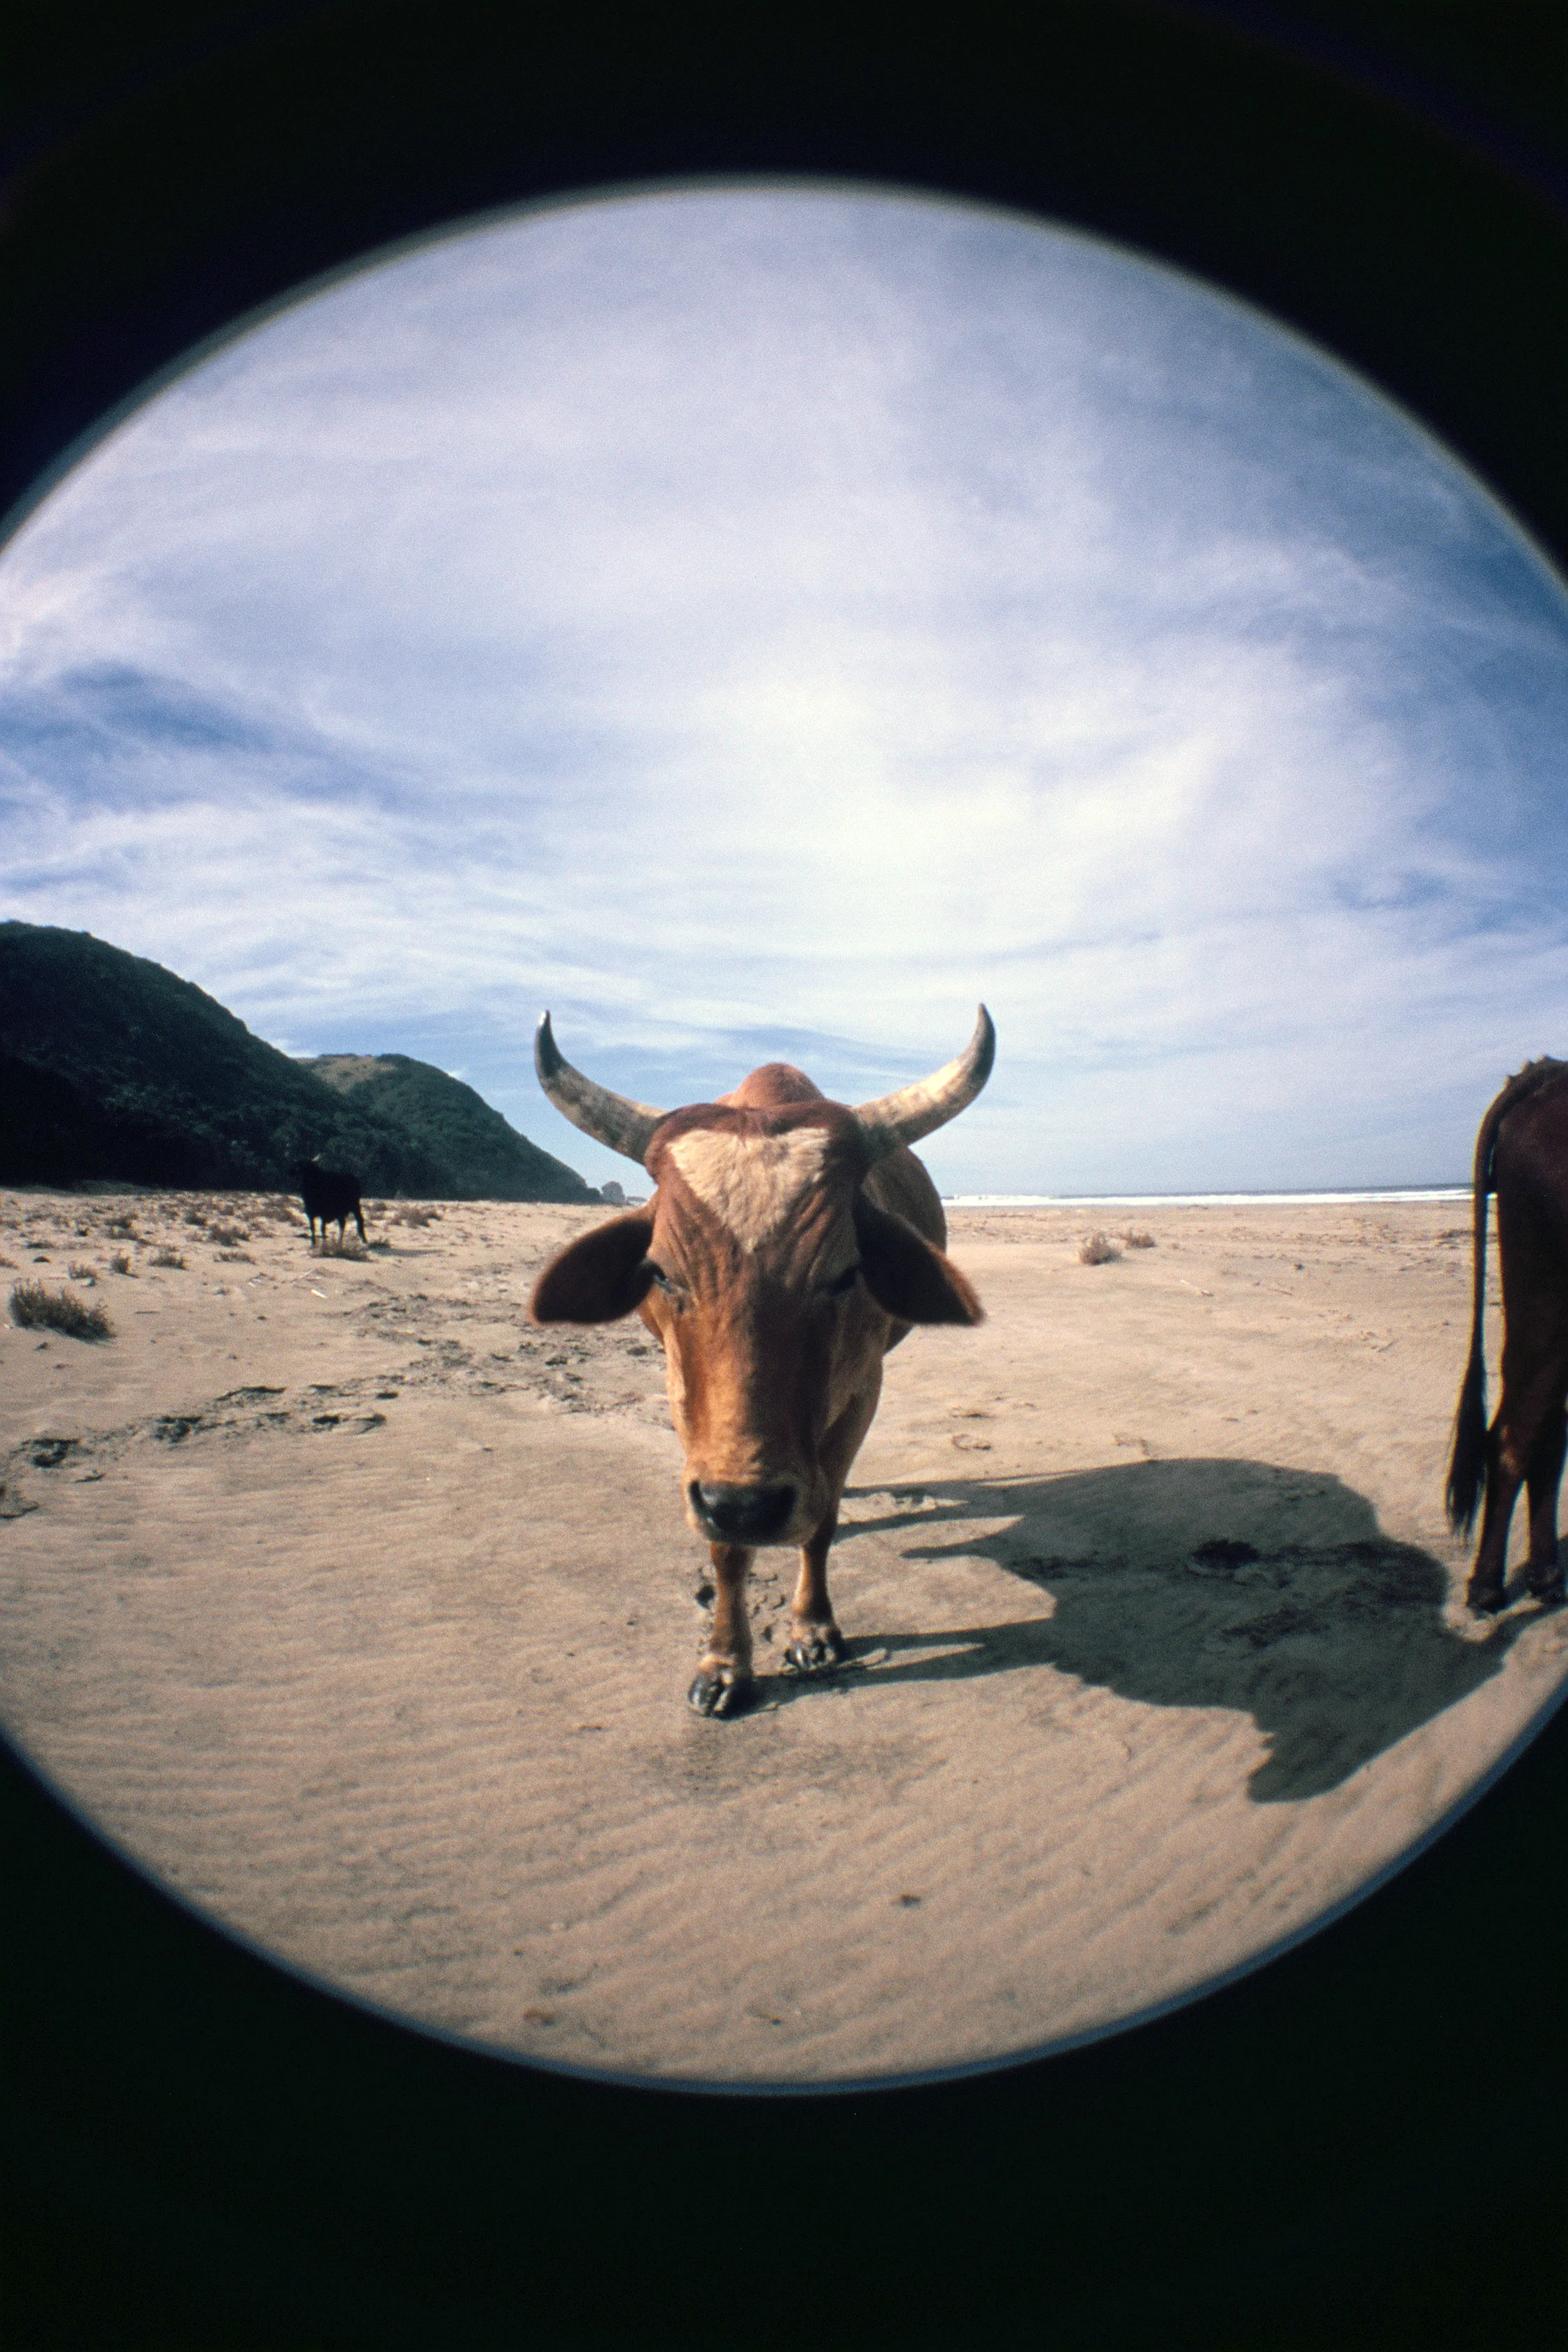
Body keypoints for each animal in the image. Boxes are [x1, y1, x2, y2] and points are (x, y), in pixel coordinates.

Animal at [529, 1007, 994, 1715]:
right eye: (662, 1273)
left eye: (845, 1273)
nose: (750, 1505)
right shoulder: (688, 1410)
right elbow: (725, 1547)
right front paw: (725, 1664)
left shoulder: (863, 1392)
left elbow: (822, 1521)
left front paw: (813, 1627)